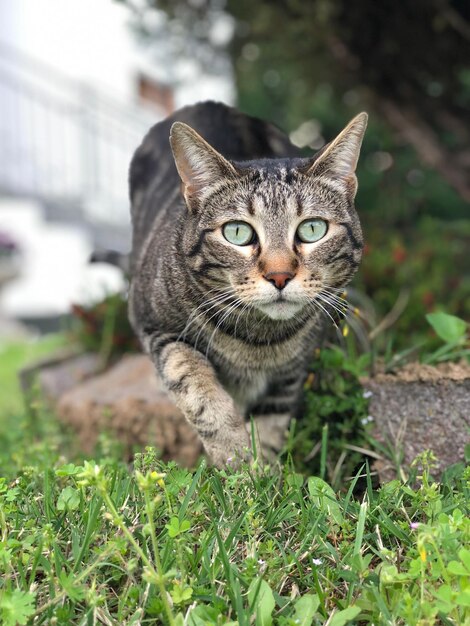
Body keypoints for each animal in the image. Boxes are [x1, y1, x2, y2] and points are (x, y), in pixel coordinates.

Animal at [129, 100, 368, 466]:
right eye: (237, 232)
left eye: (312, 229)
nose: (279, 275)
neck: (257, 341)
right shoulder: (153, 323)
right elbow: (192, 382)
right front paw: (234, 457)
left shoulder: (289, 377)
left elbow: (269, 431)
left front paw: (260, 475)